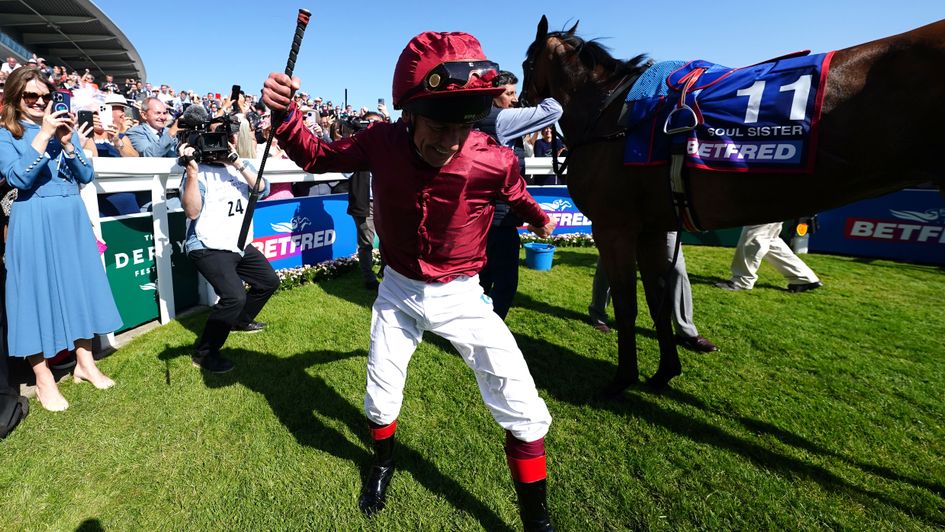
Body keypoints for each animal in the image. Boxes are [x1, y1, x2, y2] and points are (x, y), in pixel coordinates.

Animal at [520, 15, 944, 394]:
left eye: (526, 64)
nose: (522, 101)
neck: (614, 116)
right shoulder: (653, 227)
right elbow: (658, 302)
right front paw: (663, 372)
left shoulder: (615, 227)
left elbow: (629, 306)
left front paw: (623, 378)